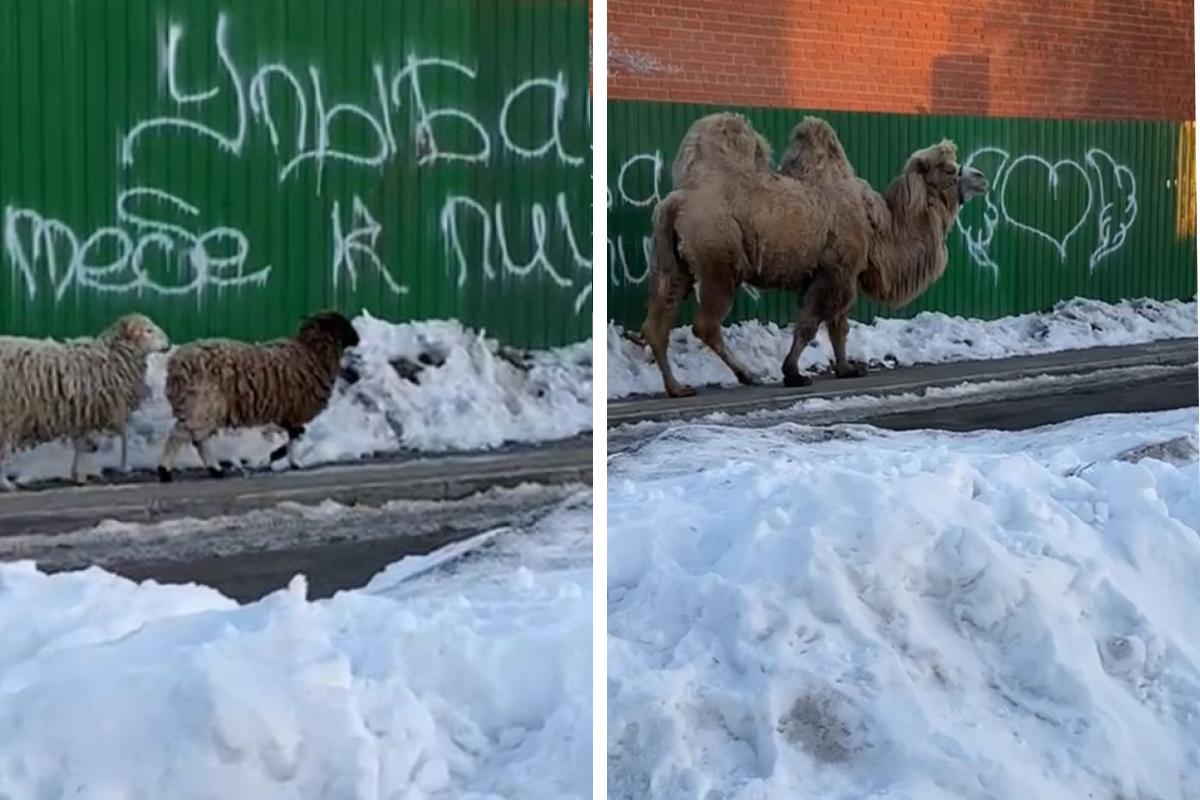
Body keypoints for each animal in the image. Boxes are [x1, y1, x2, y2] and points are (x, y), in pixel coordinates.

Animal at [0, 311, 170, 489]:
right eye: (148, 330)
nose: (168, 344)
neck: (112, 359)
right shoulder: (89, 412)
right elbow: (83, 448)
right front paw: (81, 475)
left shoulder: (80, 414)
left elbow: (80, 446)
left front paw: (77, 475)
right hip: (7, 415)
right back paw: (6, 484)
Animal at [156, 309, 360, 482]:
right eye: (343, 323)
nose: (358, 339)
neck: (312, 353)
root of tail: (176, 365)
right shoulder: (296, 411)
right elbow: (296, 436)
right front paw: (292, 462)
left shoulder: (290, 413)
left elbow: (296, 435)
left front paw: (280, 456)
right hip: (200, 403)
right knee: (179, 437)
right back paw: (165, 471)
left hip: (202, 408)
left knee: (199, 440)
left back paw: (216, 470)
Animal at [643, 110, 988, 398]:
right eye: (949, 169)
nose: (982, 178)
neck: (879, 227)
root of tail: (674, 203)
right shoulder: (837, 270)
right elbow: (815, 323)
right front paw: (794, 374)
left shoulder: (837, 273)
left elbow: (837, 325)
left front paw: (847, 369)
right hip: (720, 261)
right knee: (705, 323)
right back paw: (748, 375)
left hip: (673, 264)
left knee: (657, 323)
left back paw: (677, 388)